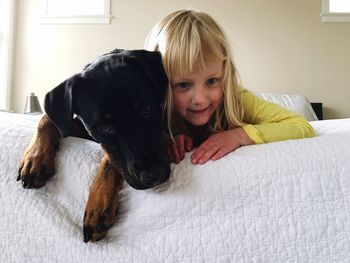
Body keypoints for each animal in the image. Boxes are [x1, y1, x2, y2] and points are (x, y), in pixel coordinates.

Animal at [18, 49, 171, 243]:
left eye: (147, 109)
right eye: (105, 127)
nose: (154, 175)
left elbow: (109, 159)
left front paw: (98, 203)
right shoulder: (79, 126)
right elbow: (46, 118)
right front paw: (35, 158)